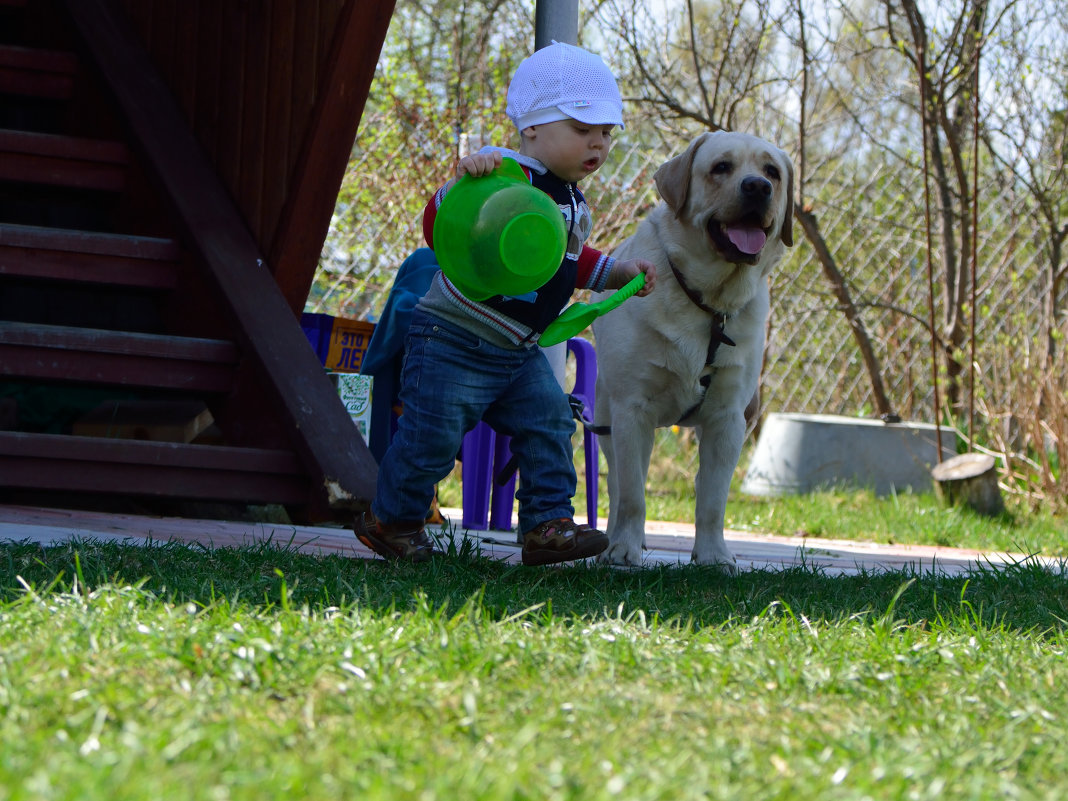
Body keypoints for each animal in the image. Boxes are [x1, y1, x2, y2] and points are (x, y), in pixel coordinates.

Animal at [593, 131, 794, 568]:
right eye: (721, 167)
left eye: (772, 171)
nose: (758, 187)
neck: (708, 301)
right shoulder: (631, 409)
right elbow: (632, 494)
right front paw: (624, 548)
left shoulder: (727, 419)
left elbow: (713, 502)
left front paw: (714, 555)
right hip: (604, 418)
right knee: (618, 483)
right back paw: (615, 539)